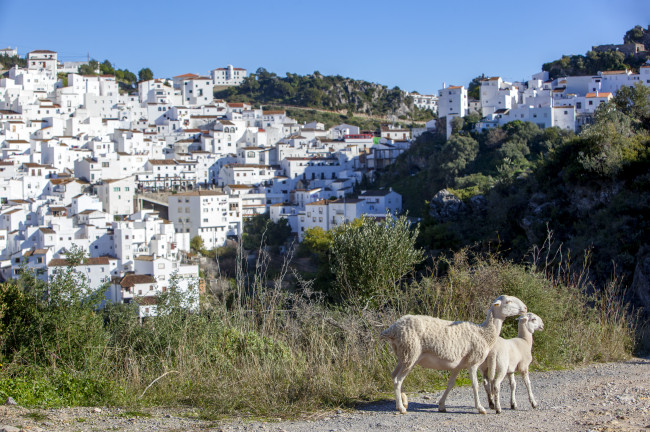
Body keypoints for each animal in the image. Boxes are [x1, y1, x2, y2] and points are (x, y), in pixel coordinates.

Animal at [380, 296, 528, 414]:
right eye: (508, 301)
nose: (525, 308)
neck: (484, 333)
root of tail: (393, 329)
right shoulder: (473, 362)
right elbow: (475, 385)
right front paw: (480, 408)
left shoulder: (458, 366)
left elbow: (450, 385)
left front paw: (441, 405)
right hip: (411, 353)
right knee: (398, 380)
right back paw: (401, 408)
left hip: (404, 356)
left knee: (393, 376)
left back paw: (403, 401)